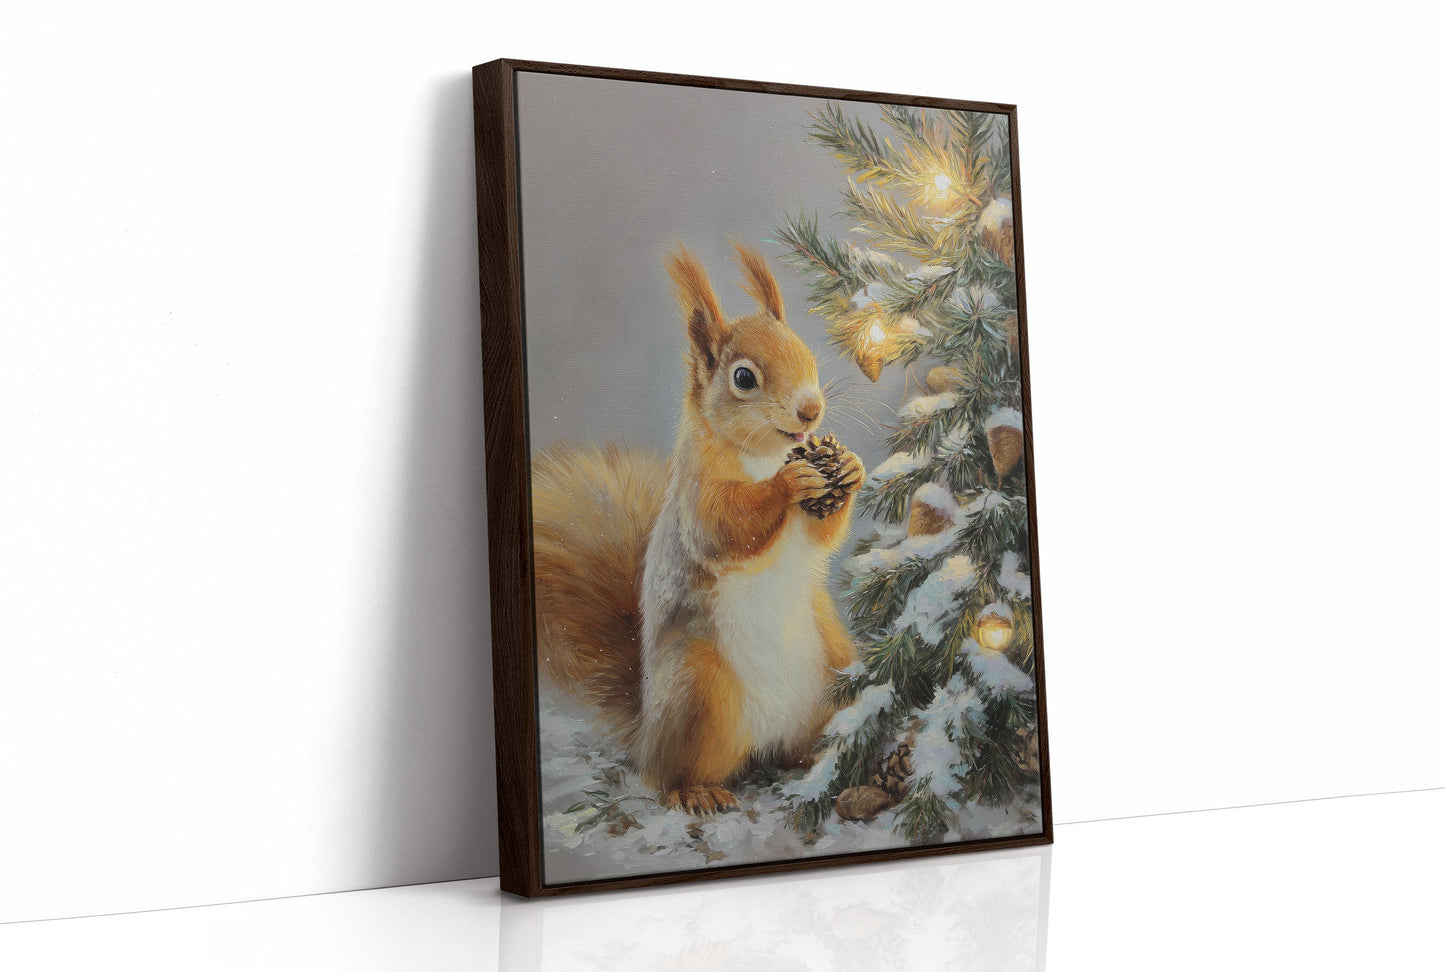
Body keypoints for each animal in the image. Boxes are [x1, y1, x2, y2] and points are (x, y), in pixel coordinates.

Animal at [530, 242, 864, 815]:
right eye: (744, 378)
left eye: (808, 354)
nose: (811, 409)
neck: (763, 454)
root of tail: (645, 733)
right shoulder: (695, 491)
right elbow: (725, 526)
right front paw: (789, 482)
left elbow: (820, 534)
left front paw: (850, 468)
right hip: (700, 688)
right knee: (670, 775)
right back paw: (698, 791)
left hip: (837, 667)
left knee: (803, 744)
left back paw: (829, 759)